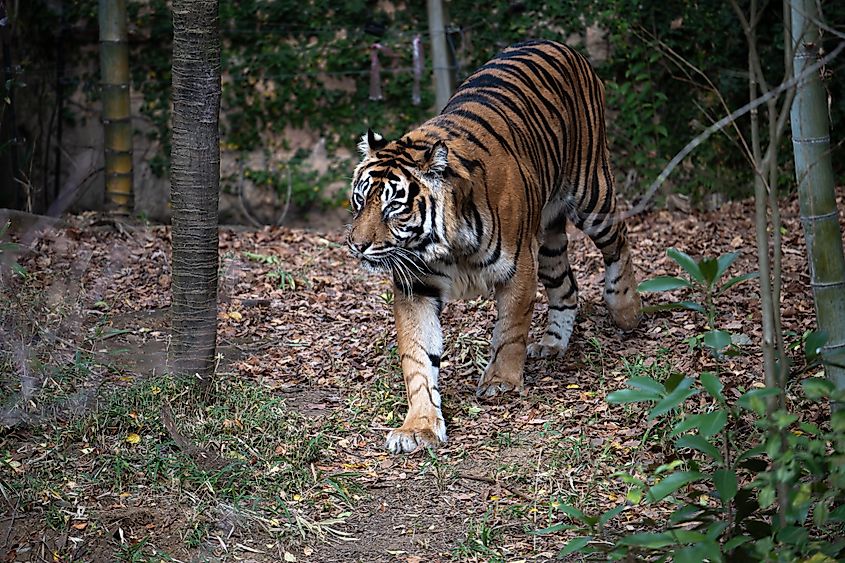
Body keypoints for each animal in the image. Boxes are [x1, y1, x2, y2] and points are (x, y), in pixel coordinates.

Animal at [347, 39, 641, 454]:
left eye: (393, 207)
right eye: (360, 200)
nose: (357, 245)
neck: (446, 245)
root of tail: (556, 43)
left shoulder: (519, 267)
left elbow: (510, 329)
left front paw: (501, 381)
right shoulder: (416, 287)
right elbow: (418, 358)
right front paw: (419, 426)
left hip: (591, 193)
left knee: (619, 240)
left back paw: (627, 309)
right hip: (548, 238)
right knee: (566, 286)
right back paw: (553, 344)